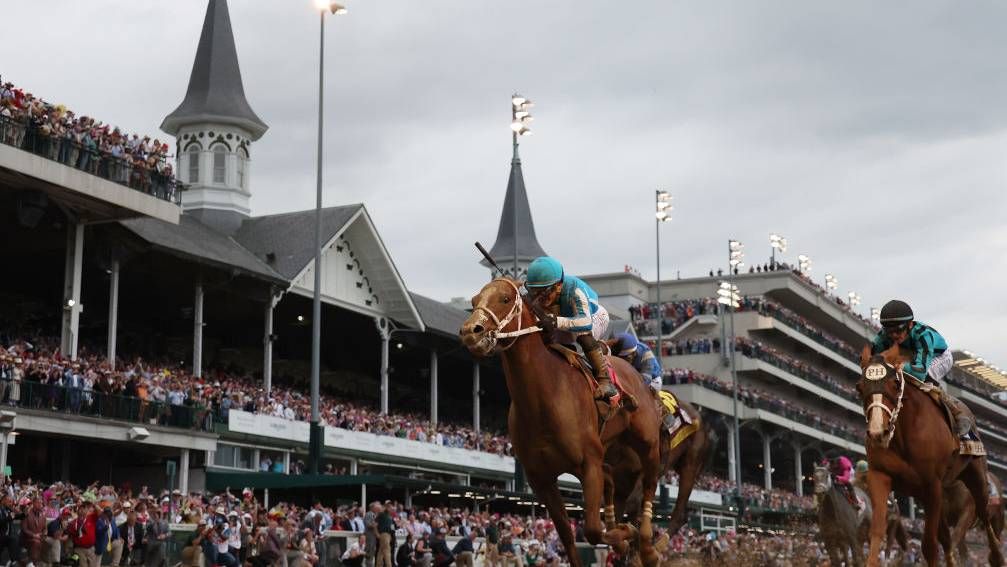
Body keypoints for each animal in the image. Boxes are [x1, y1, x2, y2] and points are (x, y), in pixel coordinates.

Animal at [461, 279, 664, 567]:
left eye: (504, 298)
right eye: (474, 300)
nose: (470, 331)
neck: (544, 398)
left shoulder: (588, 464)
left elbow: (592, 530)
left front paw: (626, 535)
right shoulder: (541, 478)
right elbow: (568, 536)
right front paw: (620, 538)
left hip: (646, 442)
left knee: (649, 481)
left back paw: (646, 544)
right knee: (611, 478)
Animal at [853, 346, 1002, 567]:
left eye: (895, 384)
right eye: (859, 387)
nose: (878, 432)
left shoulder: (933, 484)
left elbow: (930, 545)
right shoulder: (881, 476)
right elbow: (877, 532)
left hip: (976, 478)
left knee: (984, 516)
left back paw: (997, 557)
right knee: (948, 539)